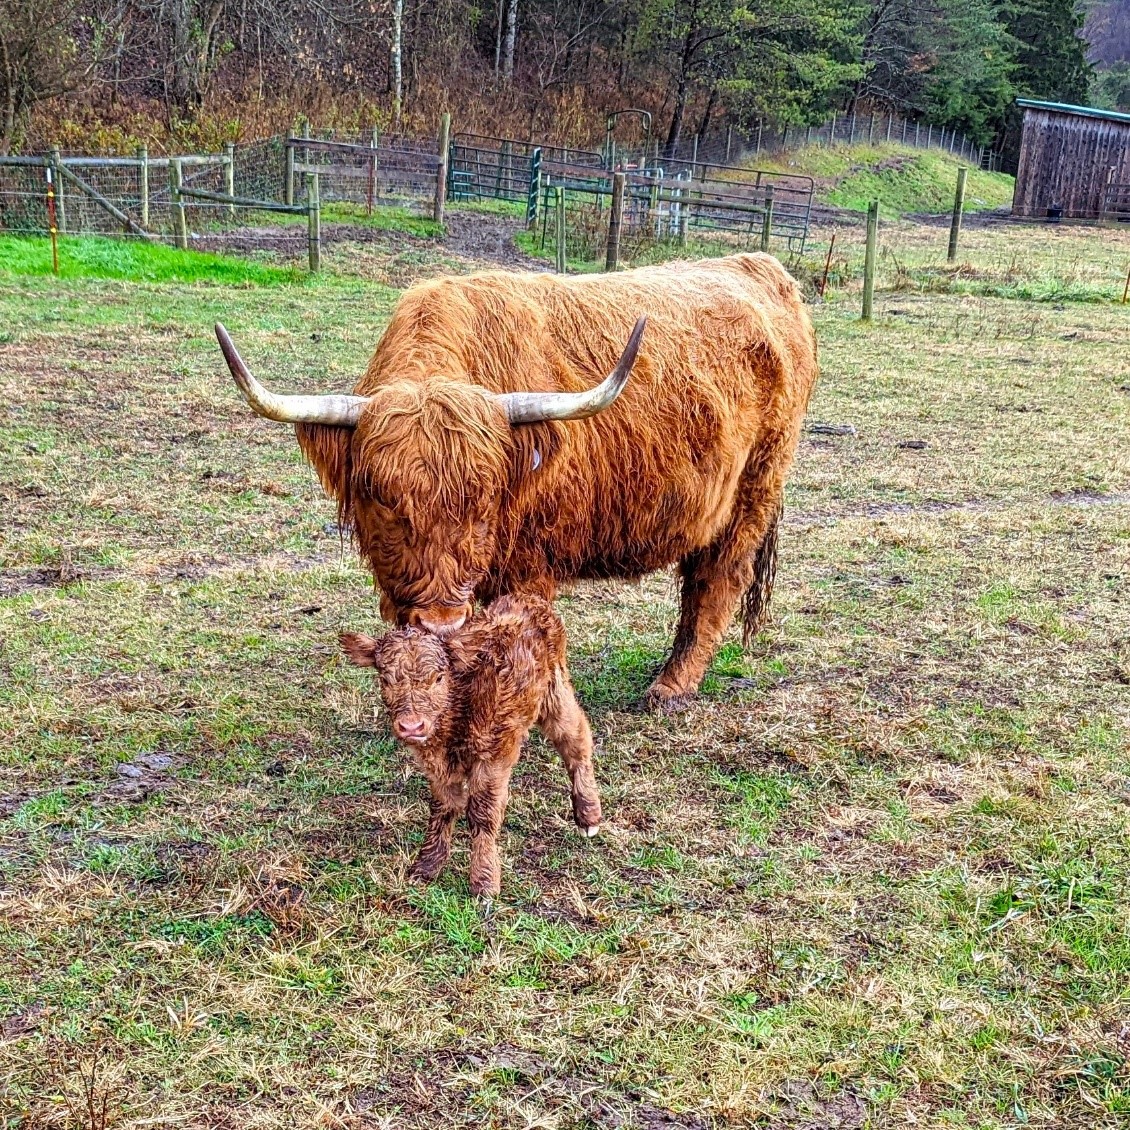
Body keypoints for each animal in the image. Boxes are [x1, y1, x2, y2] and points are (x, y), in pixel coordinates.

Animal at [220, 254, 818, 705]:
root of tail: (761, 266)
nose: (441, 618)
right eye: (384, 499)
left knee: (718, 580)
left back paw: (670, 687)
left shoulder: (530, 563)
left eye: (484, 499)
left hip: (756, 489)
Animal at [339, 596, 601, 894]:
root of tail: (528, 600)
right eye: (385, 679)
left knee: (577, 742)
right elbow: (443, 807)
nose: (412, 726)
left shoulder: (493, 755)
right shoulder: (438, 767)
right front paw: (427, 867)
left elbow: (482, 813)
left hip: (556, 695)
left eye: (439, 677)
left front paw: (484, 881)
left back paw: (588, 817)